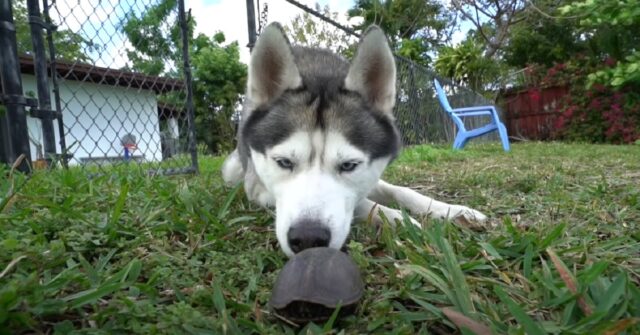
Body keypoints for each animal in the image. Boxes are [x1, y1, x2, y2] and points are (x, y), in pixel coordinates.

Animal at [222, 22, 488, 256]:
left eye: (349, 165)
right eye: (284, 162)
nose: (308, 238)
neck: (319, 72)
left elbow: (402, 191)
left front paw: (454, 210)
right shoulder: (258, 190)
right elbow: (363, 203)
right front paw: (399, 219)